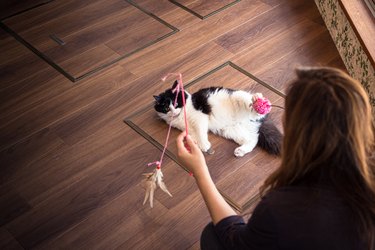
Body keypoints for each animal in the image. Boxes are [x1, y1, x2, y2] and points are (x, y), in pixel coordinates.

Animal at [153, 81, 282, 157]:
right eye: (165, 108)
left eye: (176, 103)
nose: (173, 111)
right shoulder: (188, 129)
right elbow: (193, 136)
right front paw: (198, 145)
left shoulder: (199, 118)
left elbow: (200, 133)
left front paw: (204, 145)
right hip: (233, 131)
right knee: (254, 139)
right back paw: (240, 151)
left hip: (239, 98)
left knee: (256, 109)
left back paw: (257, 100)